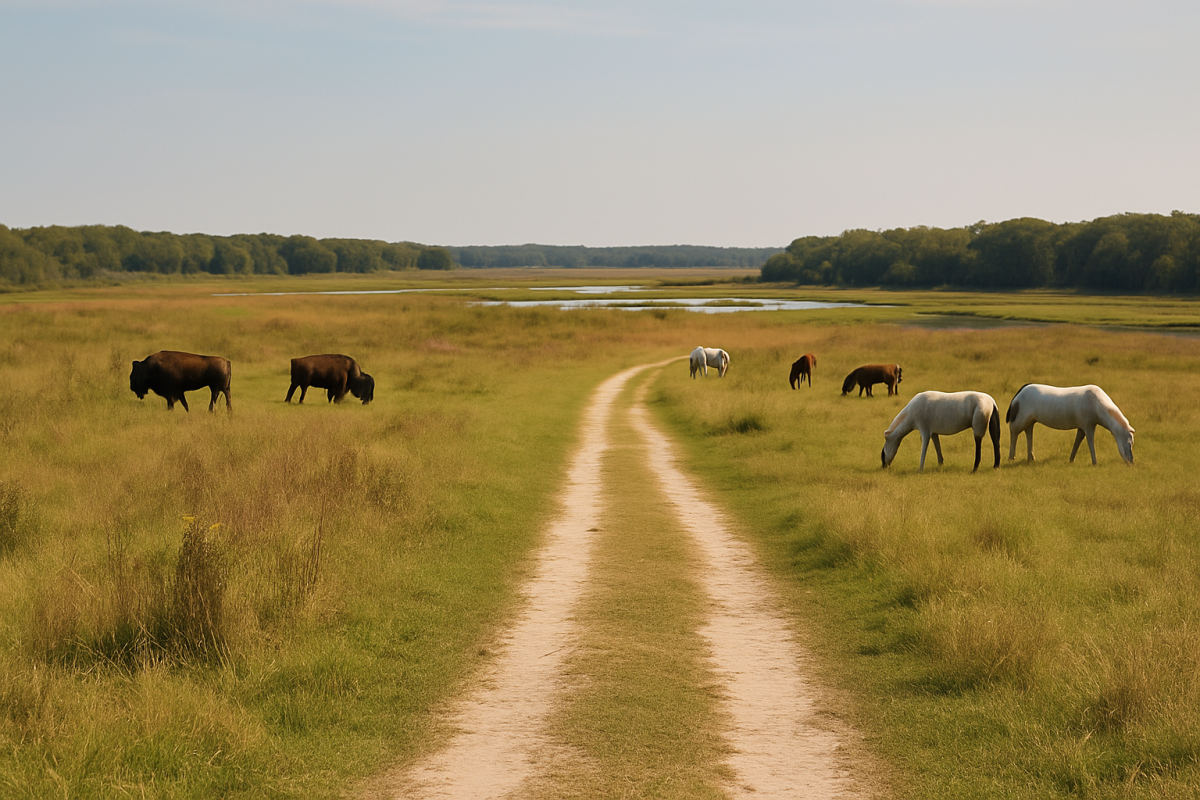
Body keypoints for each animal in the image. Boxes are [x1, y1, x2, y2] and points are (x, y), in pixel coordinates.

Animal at [1005, 383, 1134, 465]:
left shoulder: (1081, 428)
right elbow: (1090, 443)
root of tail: (1019, 392)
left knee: (1028, 433)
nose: (1131, 462)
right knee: (1013, 433)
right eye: (1130, 443)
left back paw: (1031, 458)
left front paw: (1071, 460)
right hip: (1019, 420)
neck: (1098, 404)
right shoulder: (1088, 426)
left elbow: (1077, 443)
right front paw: (1094, 462)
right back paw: (1011, 458)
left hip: (1030, 421)